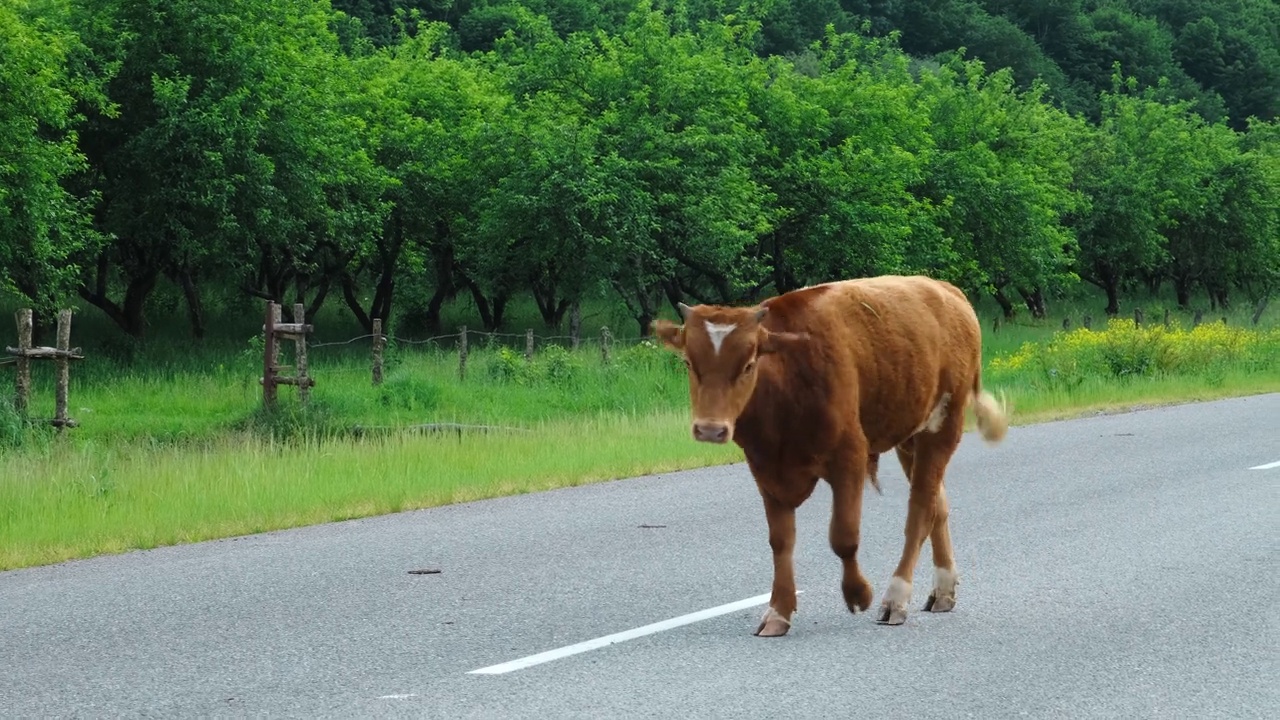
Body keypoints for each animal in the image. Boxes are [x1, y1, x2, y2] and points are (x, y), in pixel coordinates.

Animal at [655, 272, 1003, 632]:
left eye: (749, 364)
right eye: (688, 362)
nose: (710, 429)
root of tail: (947, 291)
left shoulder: (849, 457)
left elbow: (843, 536)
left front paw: (858, 594)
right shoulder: (765, 469)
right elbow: (781, 541)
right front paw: (778, 611)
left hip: (942, 429)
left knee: (920, 511)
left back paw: (895, 598)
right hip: (911, 437)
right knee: (938, 506)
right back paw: (943, 591)